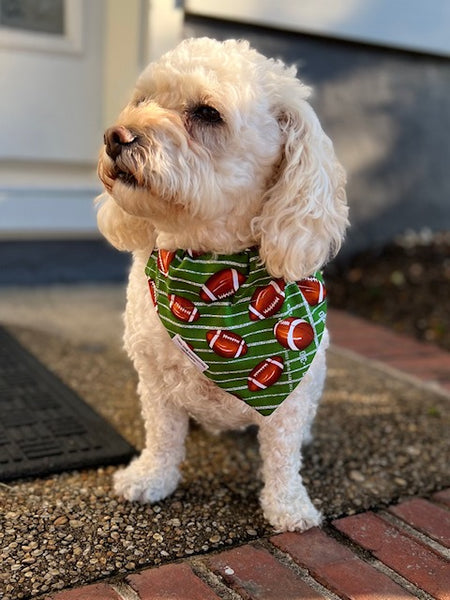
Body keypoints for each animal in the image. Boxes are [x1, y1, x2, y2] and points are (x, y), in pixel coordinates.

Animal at [96, 37, 348, 532]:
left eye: (207, 113)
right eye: (142, 100)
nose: (116, 136)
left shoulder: (290, 396)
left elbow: (283, 454)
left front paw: (289, 506)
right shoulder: (154, 381)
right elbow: (163, 436)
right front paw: (152, 478)